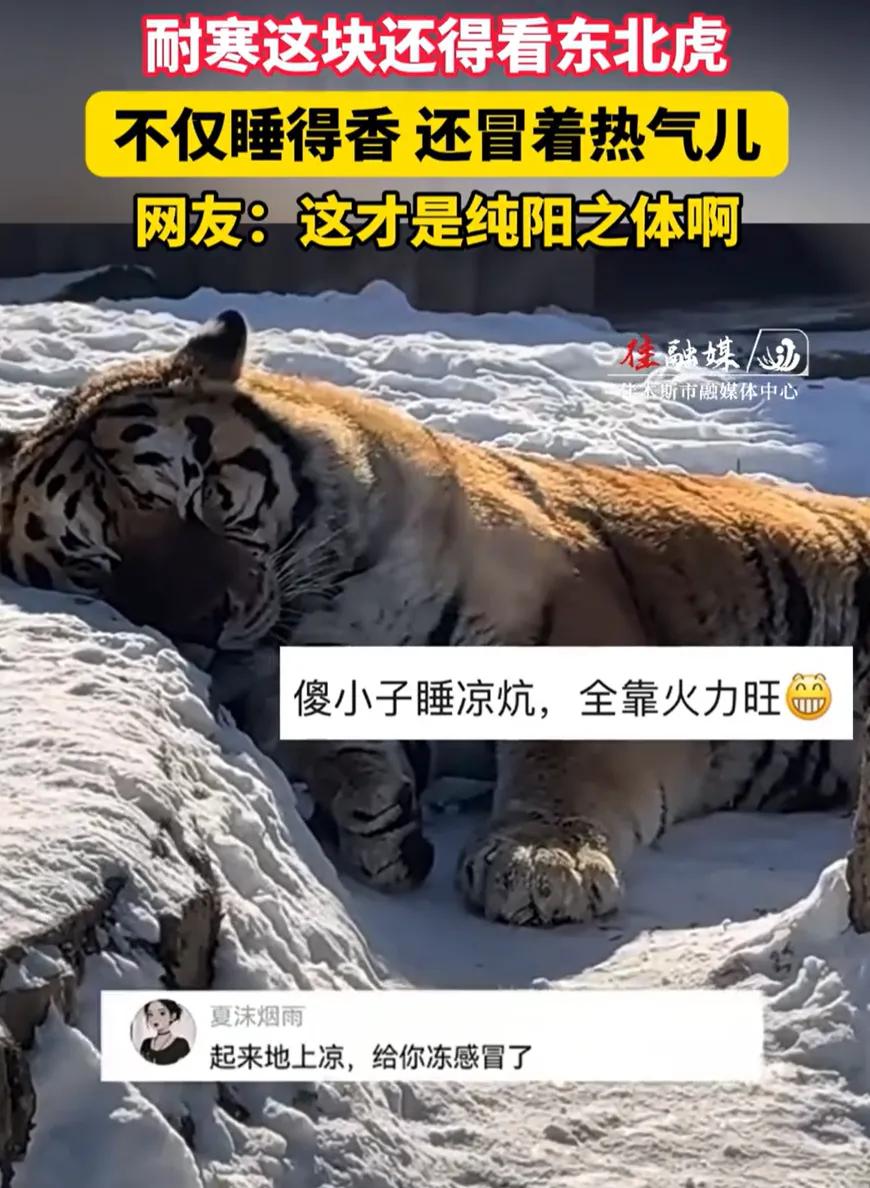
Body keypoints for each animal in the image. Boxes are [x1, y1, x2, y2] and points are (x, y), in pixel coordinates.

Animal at [0, 309, 867, 927]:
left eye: (206, 495)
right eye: (98, 564)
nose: (205, 625)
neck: (323, 606)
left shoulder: (565, 612)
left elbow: (563, 757)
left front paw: (540, 865)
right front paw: (377, 816)